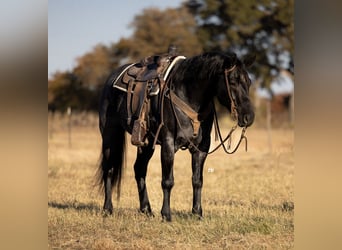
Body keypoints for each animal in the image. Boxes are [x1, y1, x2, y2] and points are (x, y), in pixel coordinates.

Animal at [95, 50, 254, 221]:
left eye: (249, 82)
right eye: (232, 81)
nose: (249, 117)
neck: (188, 95)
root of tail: (111, 79)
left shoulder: (201, 148)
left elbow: (197, 180)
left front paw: (197, 213)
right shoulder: (168, 143)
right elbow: (168, 181)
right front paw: (166, 215)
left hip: (146, 143)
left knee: (139, 169)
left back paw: (146, 210)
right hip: (110, 135)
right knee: (109, 169)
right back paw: (107, 209)